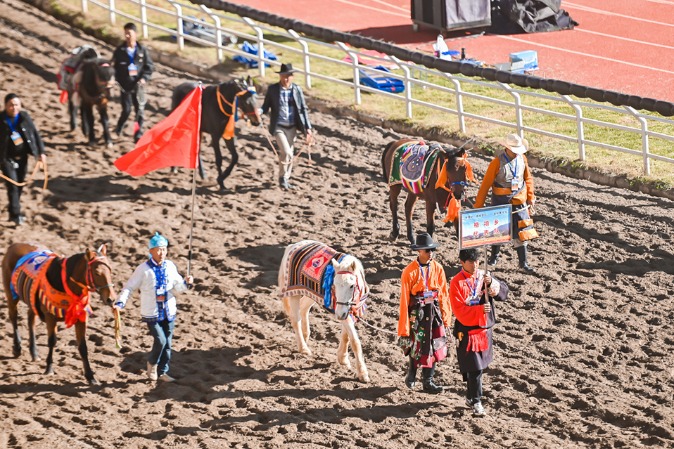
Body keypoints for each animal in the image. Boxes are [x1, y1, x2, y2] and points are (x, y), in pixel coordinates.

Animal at [1, 243, 115, 384]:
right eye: (97, 272)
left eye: (110, 270)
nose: (111, 299)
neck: (65, 283)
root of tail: (14, 245)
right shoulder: (50, 317)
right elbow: (52, 341)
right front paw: (49, 368)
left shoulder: (81, 319)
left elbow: (83, 347)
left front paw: (90, 377)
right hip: (11, 294)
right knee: (13, 317)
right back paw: (17, 348)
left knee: (30, 319)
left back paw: (34, 352)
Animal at [276, 240, 370, 380]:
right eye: (334, 285)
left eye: (351, 285)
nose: (339, 315)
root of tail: (292, 246)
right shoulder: (342, 311)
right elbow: (355, 341)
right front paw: (363, 373)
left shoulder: (347, 311)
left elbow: (346, 336)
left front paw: (343, 359)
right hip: (293, 294)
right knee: (295, 319)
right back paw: (303, 348)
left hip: (310, 294)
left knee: (303, 308)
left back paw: (305, 337)